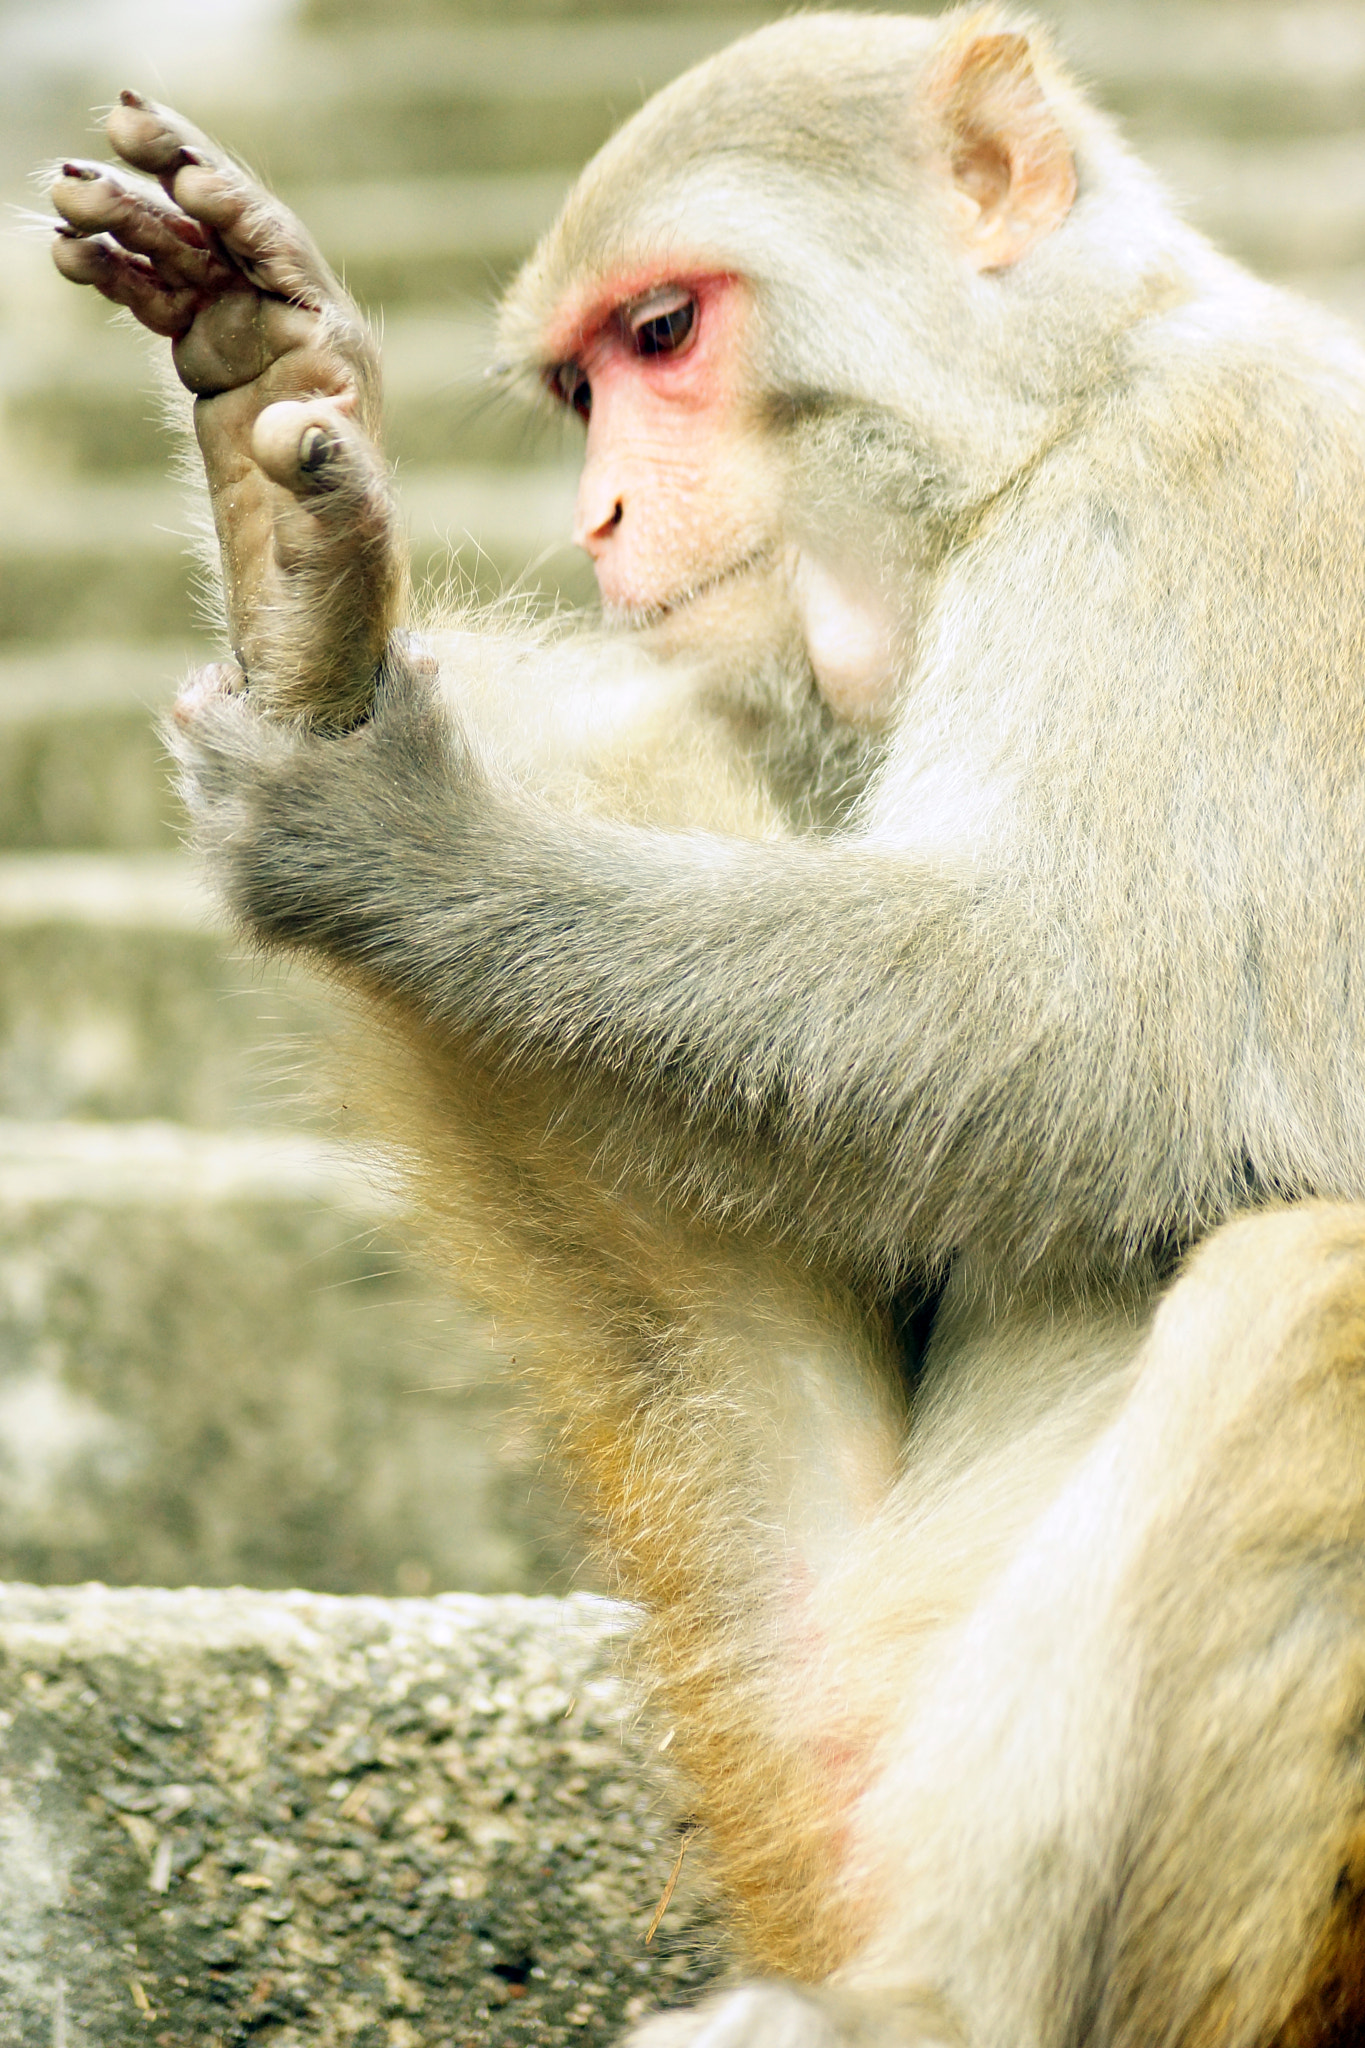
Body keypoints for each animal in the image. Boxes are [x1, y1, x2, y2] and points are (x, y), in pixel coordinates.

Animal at [45, 12, 1365, 2048]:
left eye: (664, 335)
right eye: (580, 387)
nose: (598, 515)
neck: (1056, 419)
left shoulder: (1208, 497)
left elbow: (1103, 1034)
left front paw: (406, 839)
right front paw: (284, 503)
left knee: (1318, 1302)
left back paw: (948, 2009)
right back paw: (322, 629)